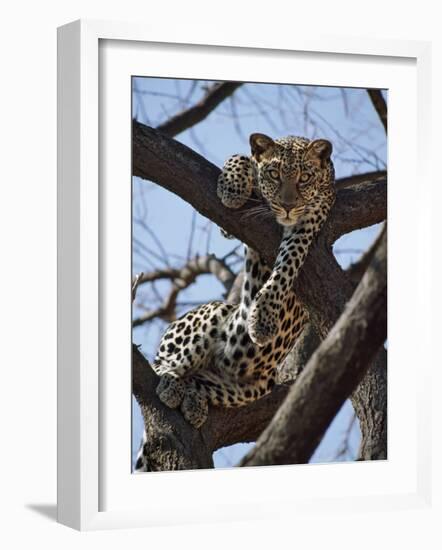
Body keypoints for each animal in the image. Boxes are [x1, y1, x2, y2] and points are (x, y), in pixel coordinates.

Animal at [135, 134, 334, 474]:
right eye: (274, 175)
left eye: (305, 177)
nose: (288, 206)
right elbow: (240, 157)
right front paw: (232, 187)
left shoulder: (310, 219)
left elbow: (288, 263)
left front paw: (263, 318)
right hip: (214, 313)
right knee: (163, 363)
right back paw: (171, 383)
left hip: (251, 386)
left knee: (200, 380)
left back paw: (191, 399)